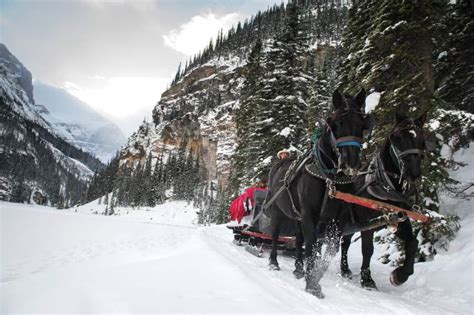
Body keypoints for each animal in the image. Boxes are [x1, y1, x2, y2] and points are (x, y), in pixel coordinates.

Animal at [266, 89, 374, 298]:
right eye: (334, 122)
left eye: (361, 124)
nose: (350, 163)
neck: (329, 177)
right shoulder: (310, 214)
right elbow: (311, 246)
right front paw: (311, 284)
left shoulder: (337, 220)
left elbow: (329, 249)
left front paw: (314, 275)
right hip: (276, 211)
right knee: (275, 235)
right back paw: (273, 262)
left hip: (298, 217)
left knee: (298, 240)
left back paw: (298, 269)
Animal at [338, 111, 428, 292]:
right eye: (397, 138)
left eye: (422, 138)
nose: (414, 173)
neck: (387, 186)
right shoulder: (367, 224)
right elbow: (368, 250)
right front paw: (367, 280)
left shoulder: (399, 218)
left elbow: (413, 242)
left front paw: (400, 276)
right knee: (343, 241)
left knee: (345, 242)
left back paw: (345, 270)